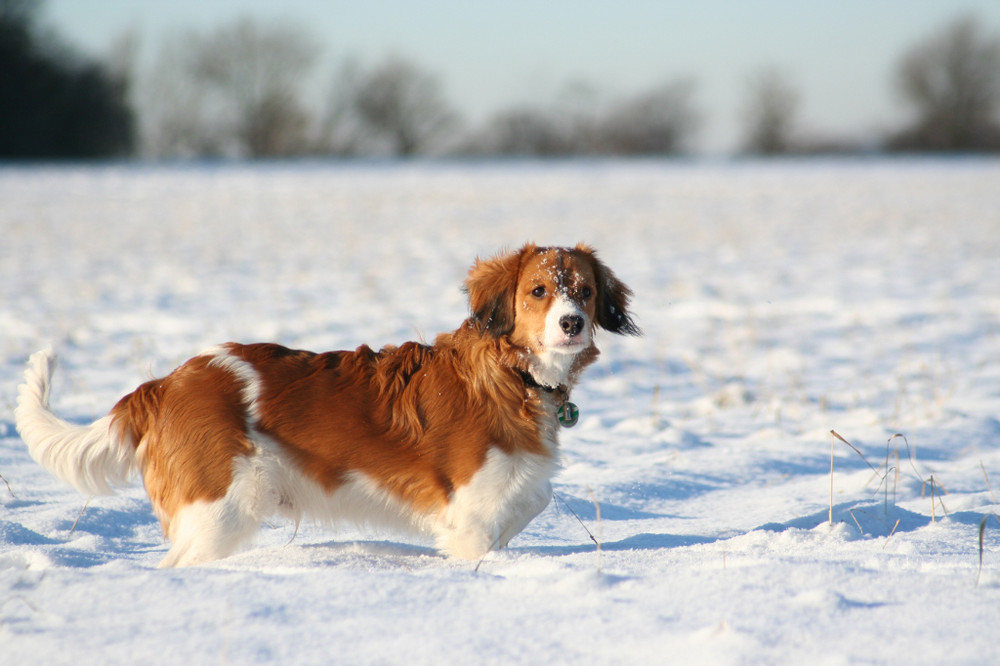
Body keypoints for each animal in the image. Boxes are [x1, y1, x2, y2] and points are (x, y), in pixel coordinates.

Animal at [15, 244, 636, 564]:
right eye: (538, 291)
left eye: (583, 291)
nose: (572, 323)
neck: (512, 375)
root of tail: (169, 381)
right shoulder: (472, 520)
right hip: (222, 510)